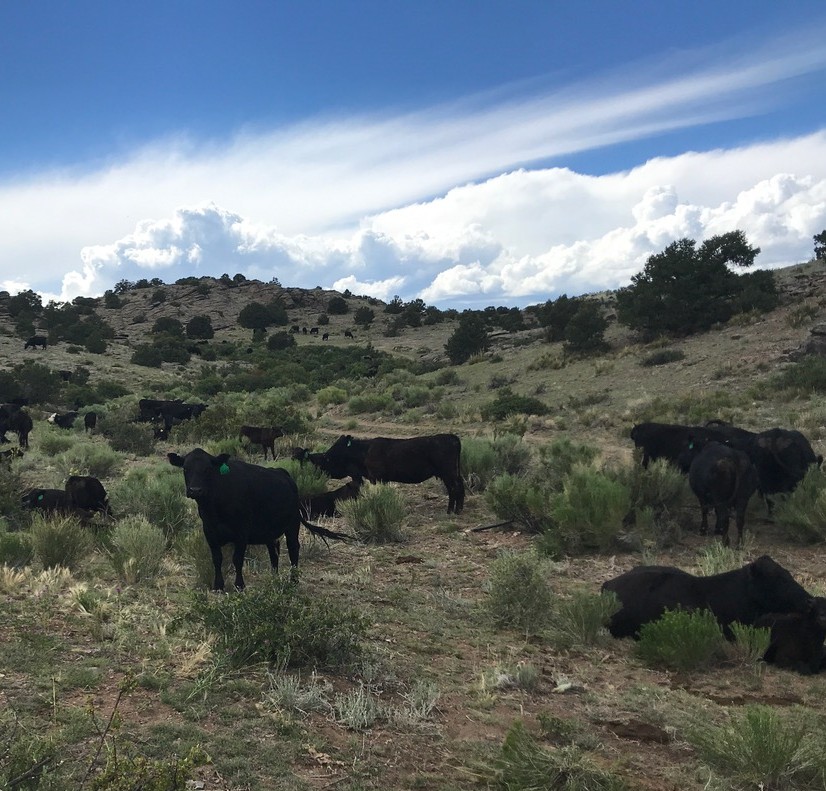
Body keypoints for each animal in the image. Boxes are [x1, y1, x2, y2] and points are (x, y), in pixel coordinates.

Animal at [168, 448, 351, 591]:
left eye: (207, 469)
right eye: (185, 469)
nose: (195, 490)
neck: (215, 507)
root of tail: (283, 473)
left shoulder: (241, 532)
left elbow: (237, 559)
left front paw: (239, 585)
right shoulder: (210, 532)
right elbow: (217, 558)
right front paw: (218, 585)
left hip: (292, 525)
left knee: (293, 549)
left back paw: (293, 580)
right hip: (270, 532)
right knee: (274, 551)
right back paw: (274, 578)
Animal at [311, 433, 465, 514]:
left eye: (330, 456)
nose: (319, 469)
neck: (364, 451)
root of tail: (452, 437)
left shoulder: (376, 476)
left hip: (448, 472)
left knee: (455, 488)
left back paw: (453, 511)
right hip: (452, 472)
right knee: (458, 486)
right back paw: (457, 509)